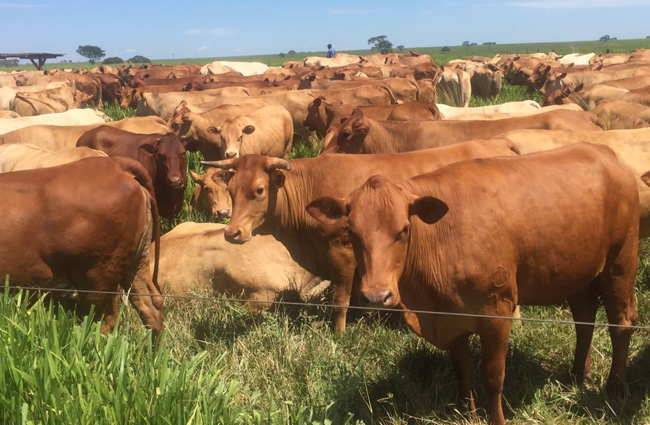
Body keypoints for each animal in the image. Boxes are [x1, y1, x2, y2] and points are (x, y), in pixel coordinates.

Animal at [200, 137, 520, 330]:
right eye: (231, 189)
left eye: (259, 190)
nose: (232, 232)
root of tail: (499, 141)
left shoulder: (341, 252)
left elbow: (341, 300)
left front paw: (339, 332)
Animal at [306, 143, 636, 424]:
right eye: (351, 231)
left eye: (403, 229)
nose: (377, 296)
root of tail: (603, 151)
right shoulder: (451, 316)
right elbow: (461, 367)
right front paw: (467, 411)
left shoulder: (496, 310)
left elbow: (492, 375)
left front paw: (496, 418)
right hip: (578, 271)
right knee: (584, 319)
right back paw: (578, 374)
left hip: (620, 261)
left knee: (621, 324)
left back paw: (615, 388)